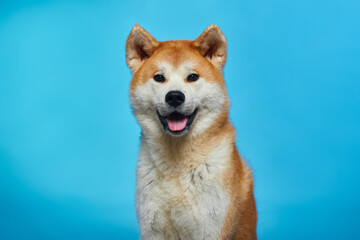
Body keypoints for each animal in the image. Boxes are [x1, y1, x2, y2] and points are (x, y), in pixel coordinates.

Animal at [126, 24, 256, 240]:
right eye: (159, 78)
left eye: (192, 77)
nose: (174, 96)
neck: (176, 164)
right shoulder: (152, 229)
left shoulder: (211, 229)